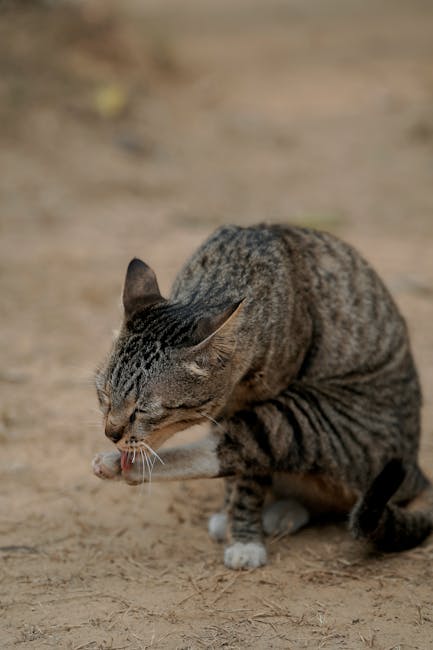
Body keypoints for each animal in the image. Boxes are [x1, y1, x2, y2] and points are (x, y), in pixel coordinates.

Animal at [90, 223, 428, 568]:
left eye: (142, 410)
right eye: (104, 395)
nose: (111, 433)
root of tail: (419, 476)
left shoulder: (264, 399)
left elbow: (249, 479)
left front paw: (244, 538)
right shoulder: (224, 409)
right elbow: (234, 474)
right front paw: (228, 513)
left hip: (311, 418)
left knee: (245, 449)